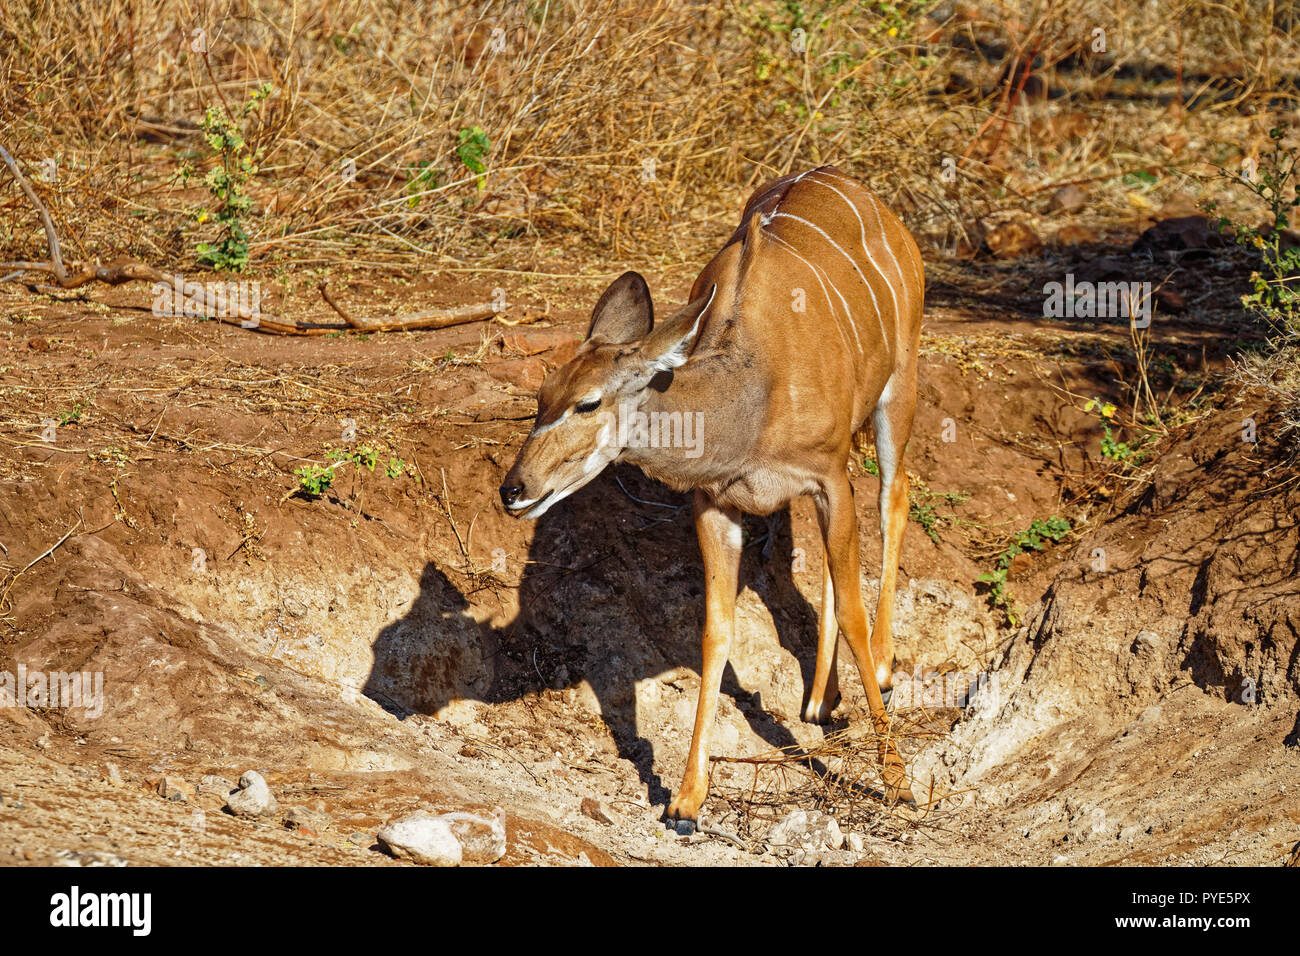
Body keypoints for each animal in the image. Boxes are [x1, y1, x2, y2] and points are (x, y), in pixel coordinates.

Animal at [500, 165, 924, 831]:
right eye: (541, 396)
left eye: (588, 402)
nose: (514, 489)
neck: (753, 392)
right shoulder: (717, 503)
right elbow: (715, 631)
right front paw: (685, 800)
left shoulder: (827, 475)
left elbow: (854, 610)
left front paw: (899, 784)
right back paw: (819, 700)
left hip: (899, 385)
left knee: (893, 494)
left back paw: (879, 666)